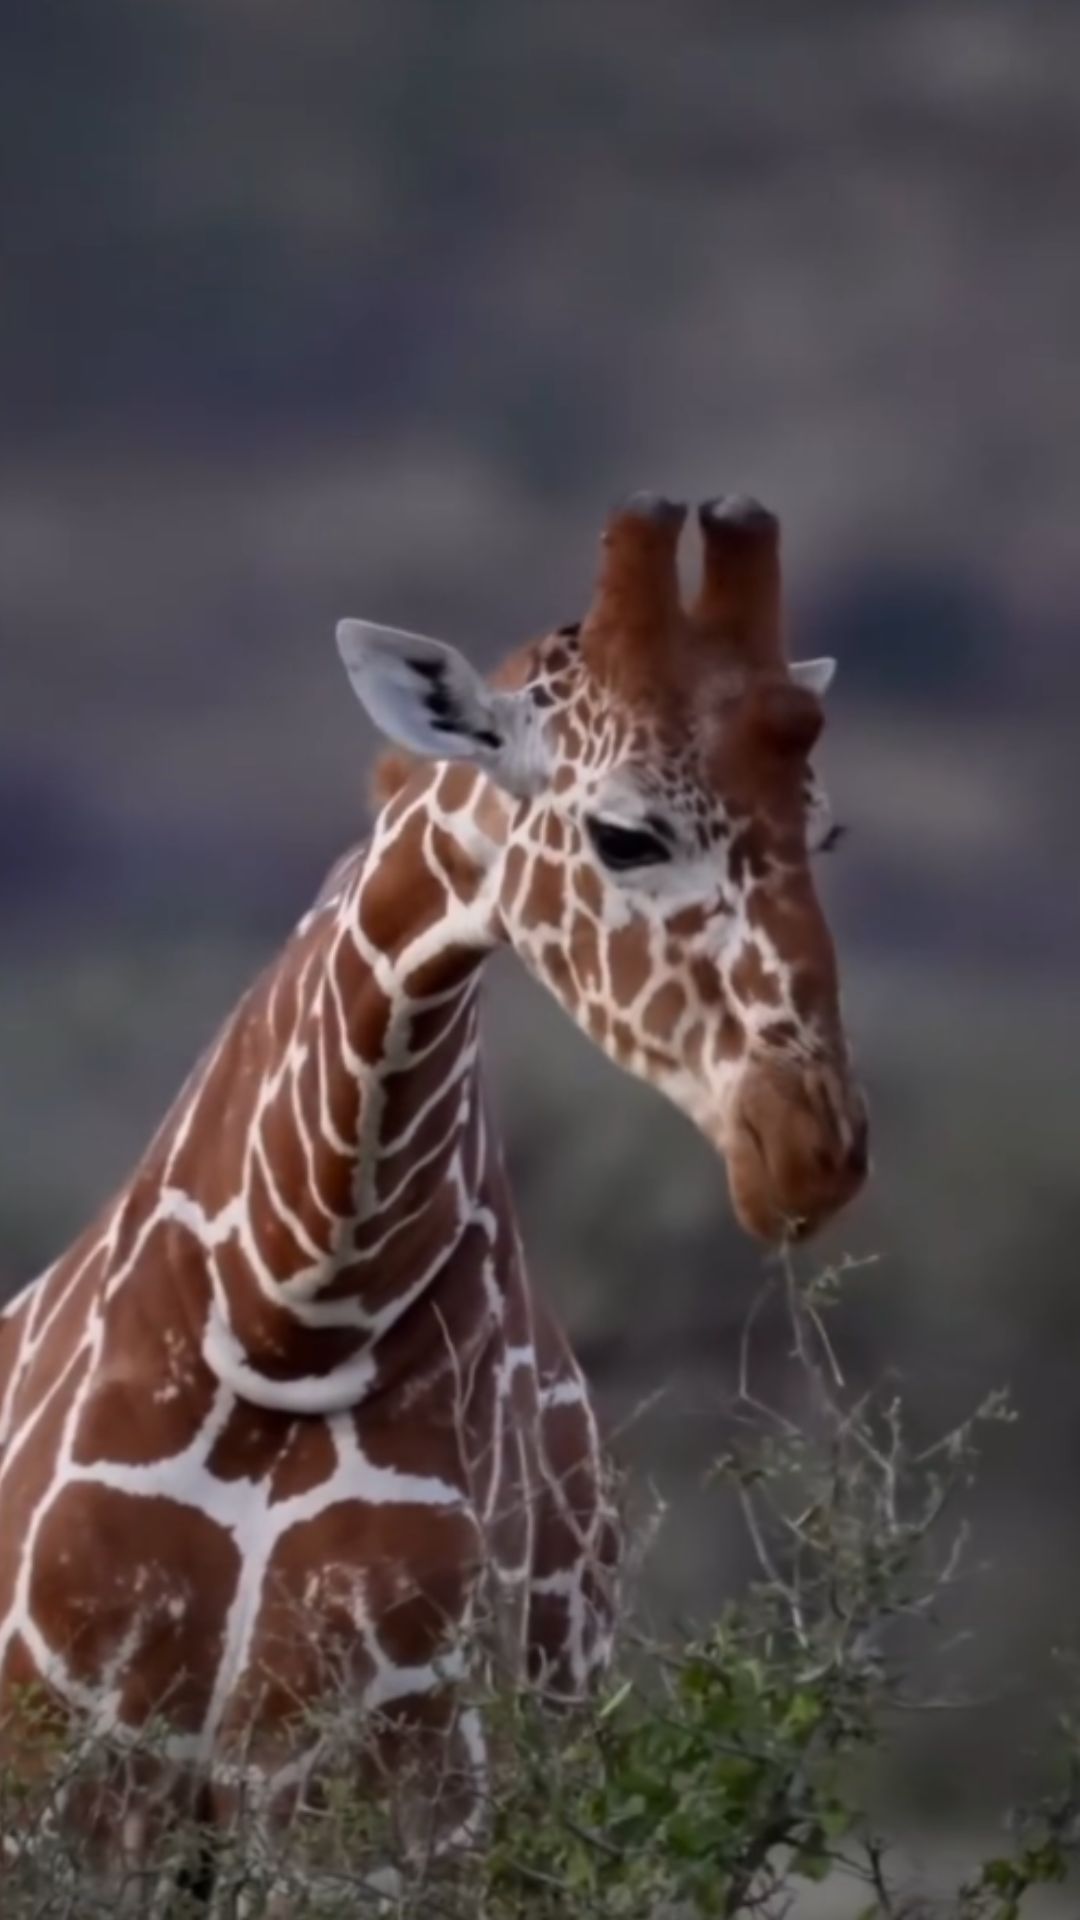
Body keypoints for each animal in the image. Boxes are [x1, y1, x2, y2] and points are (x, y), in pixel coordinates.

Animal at [0, 492, 866, 1882]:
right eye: (624, 831)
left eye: (822, 829)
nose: (808, 1147)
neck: (290, 1310)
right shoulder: (71, 1771)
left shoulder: (374, 1791)